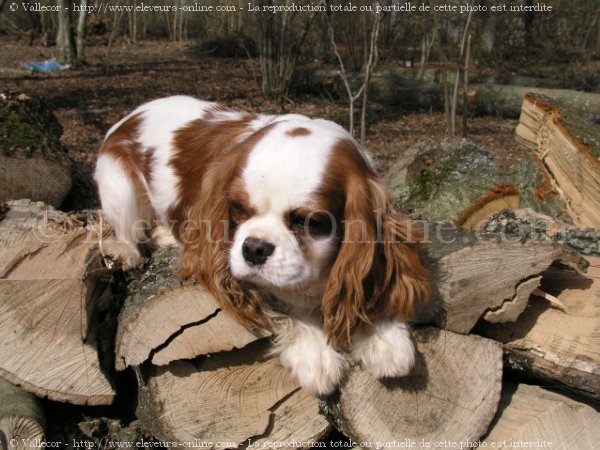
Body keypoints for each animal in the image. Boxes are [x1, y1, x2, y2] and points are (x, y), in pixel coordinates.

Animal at [94, 95, 428, 394]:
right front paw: (314, 353)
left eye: (307, 221)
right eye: (239, 209)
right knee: (128, 230)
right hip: (119, 188)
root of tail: (131, 114)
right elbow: (288, 308)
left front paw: (382, 335)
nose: (253, 248)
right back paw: (129, 250)